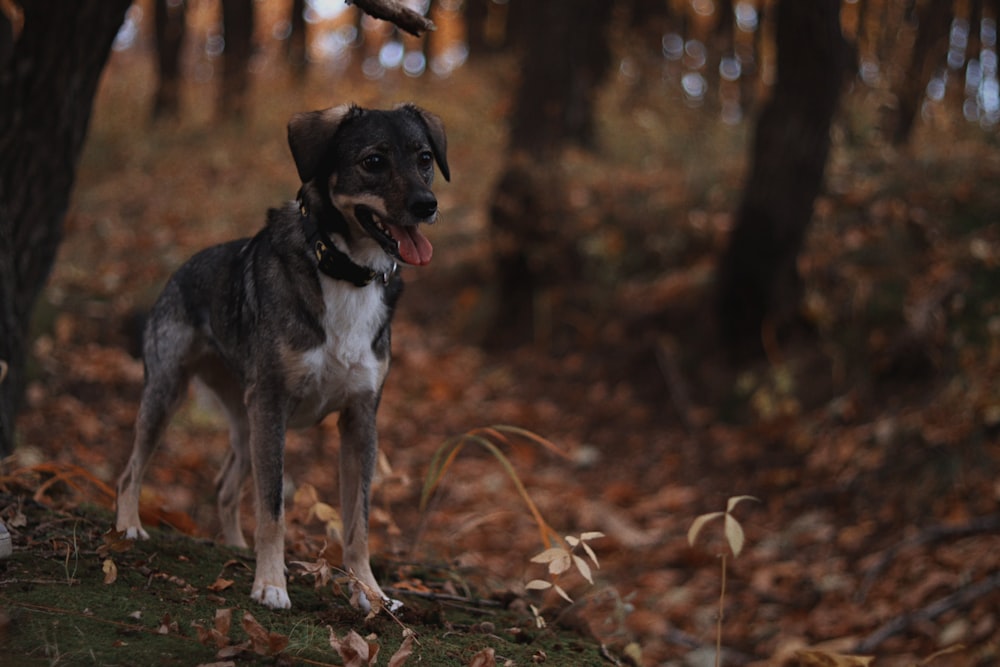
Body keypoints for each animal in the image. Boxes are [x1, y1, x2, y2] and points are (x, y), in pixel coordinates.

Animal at [112, 103, 450, 612]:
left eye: (424, 158)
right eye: (373, 161)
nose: (426, 205)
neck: (345, 272)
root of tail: (181, 268)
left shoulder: (360, 418)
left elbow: (358, 522)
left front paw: (369, 591)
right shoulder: (272, 404)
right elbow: (273, 508)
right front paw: (270, 584)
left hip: (246, 421)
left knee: (225, 487)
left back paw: (234, 545)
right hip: (170, 393)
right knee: (131, 468)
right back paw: (130, 525)